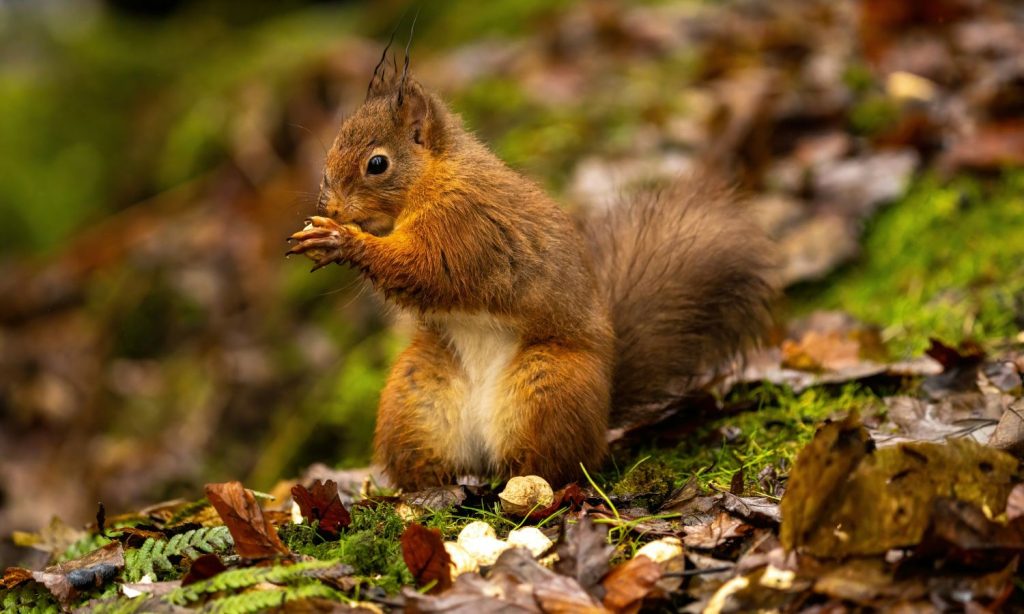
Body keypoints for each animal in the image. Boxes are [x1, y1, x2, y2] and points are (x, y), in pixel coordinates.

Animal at [288, 64, 774, 491]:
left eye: (377, 164)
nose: (330, 206)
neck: (434, 176)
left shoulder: (464, 226)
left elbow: (426, 269)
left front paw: (342, 240)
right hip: (415, 396)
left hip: (547, 388)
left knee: (551, 465)